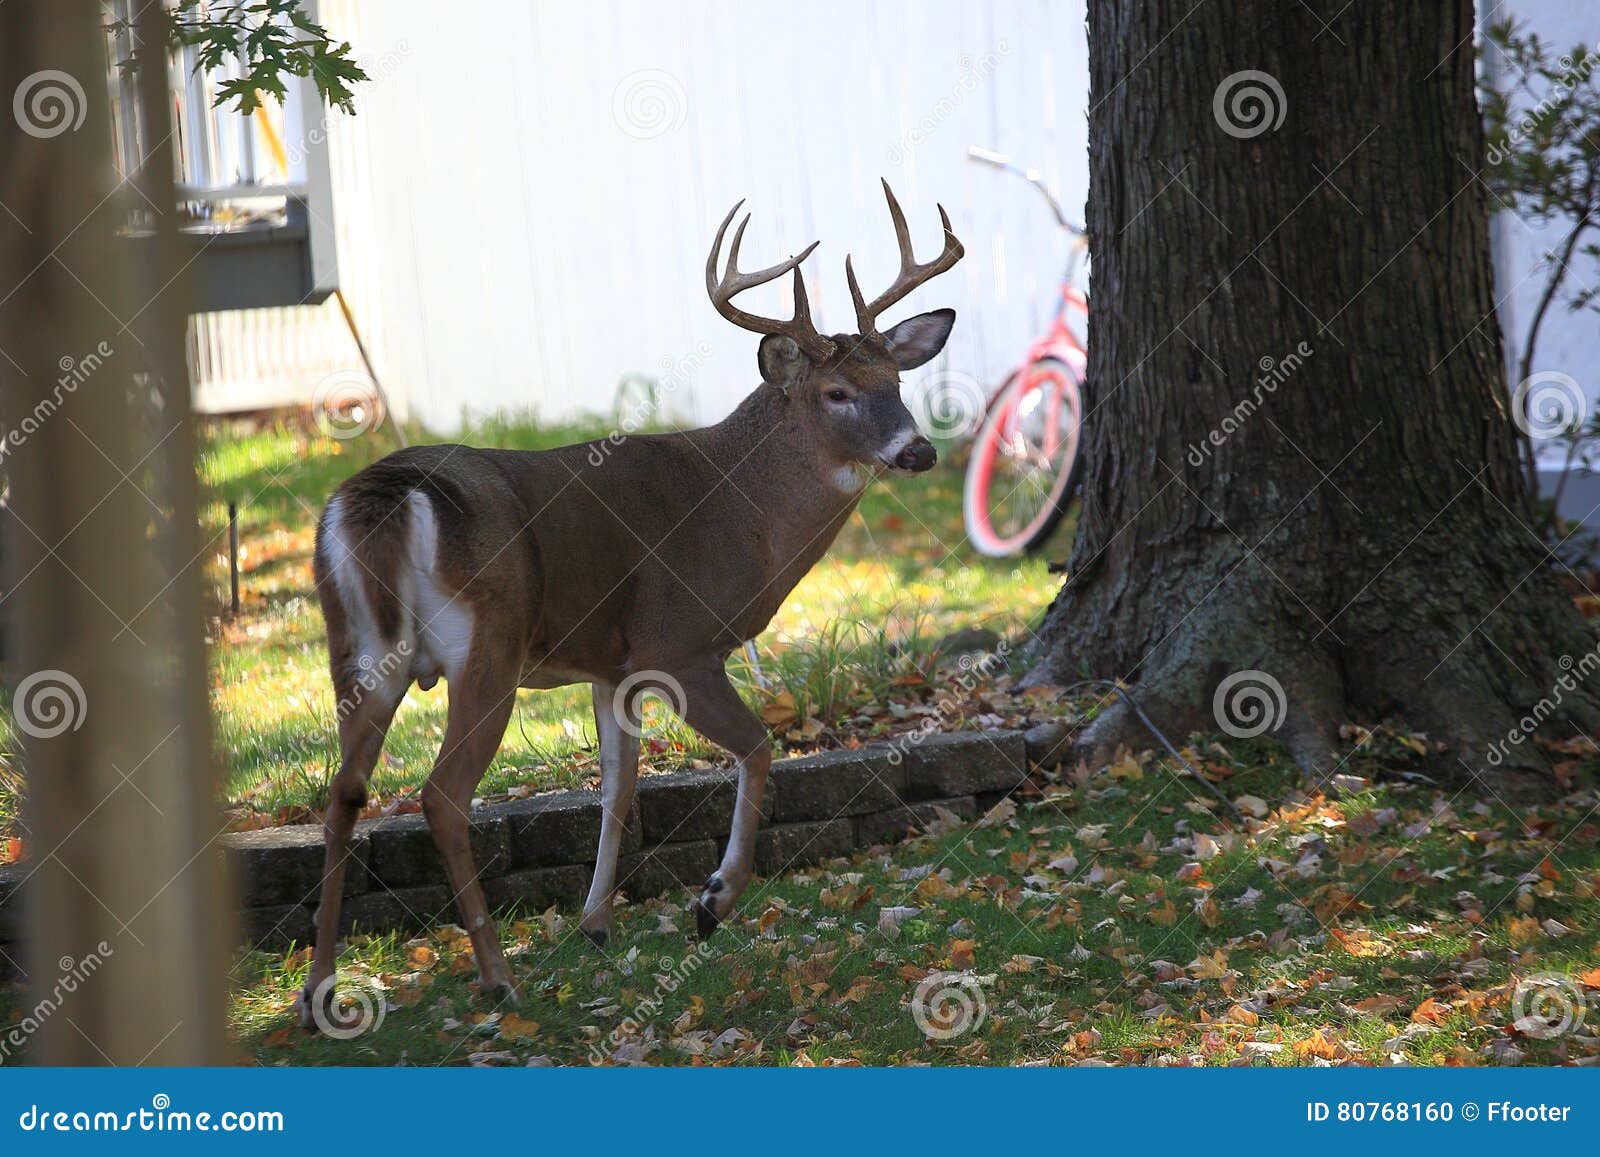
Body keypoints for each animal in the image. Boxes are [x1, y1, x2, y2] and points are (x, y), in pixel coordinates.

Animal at [297, 181, 964, 1025]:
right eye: (837, 392)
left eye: (897, 384)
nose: (919, 450)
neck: (740, 509)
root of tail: (381, 496)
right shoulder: (677, 644)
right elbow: (757, 747)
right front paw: (713, 900)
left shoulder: (611, 668)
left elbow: (618, 787)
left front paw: (595, 923)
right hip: (487, 643)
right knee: (441, 794)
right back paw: (497, 976)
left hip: (354, 644)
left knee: (344, 790)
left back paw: (320, 992)